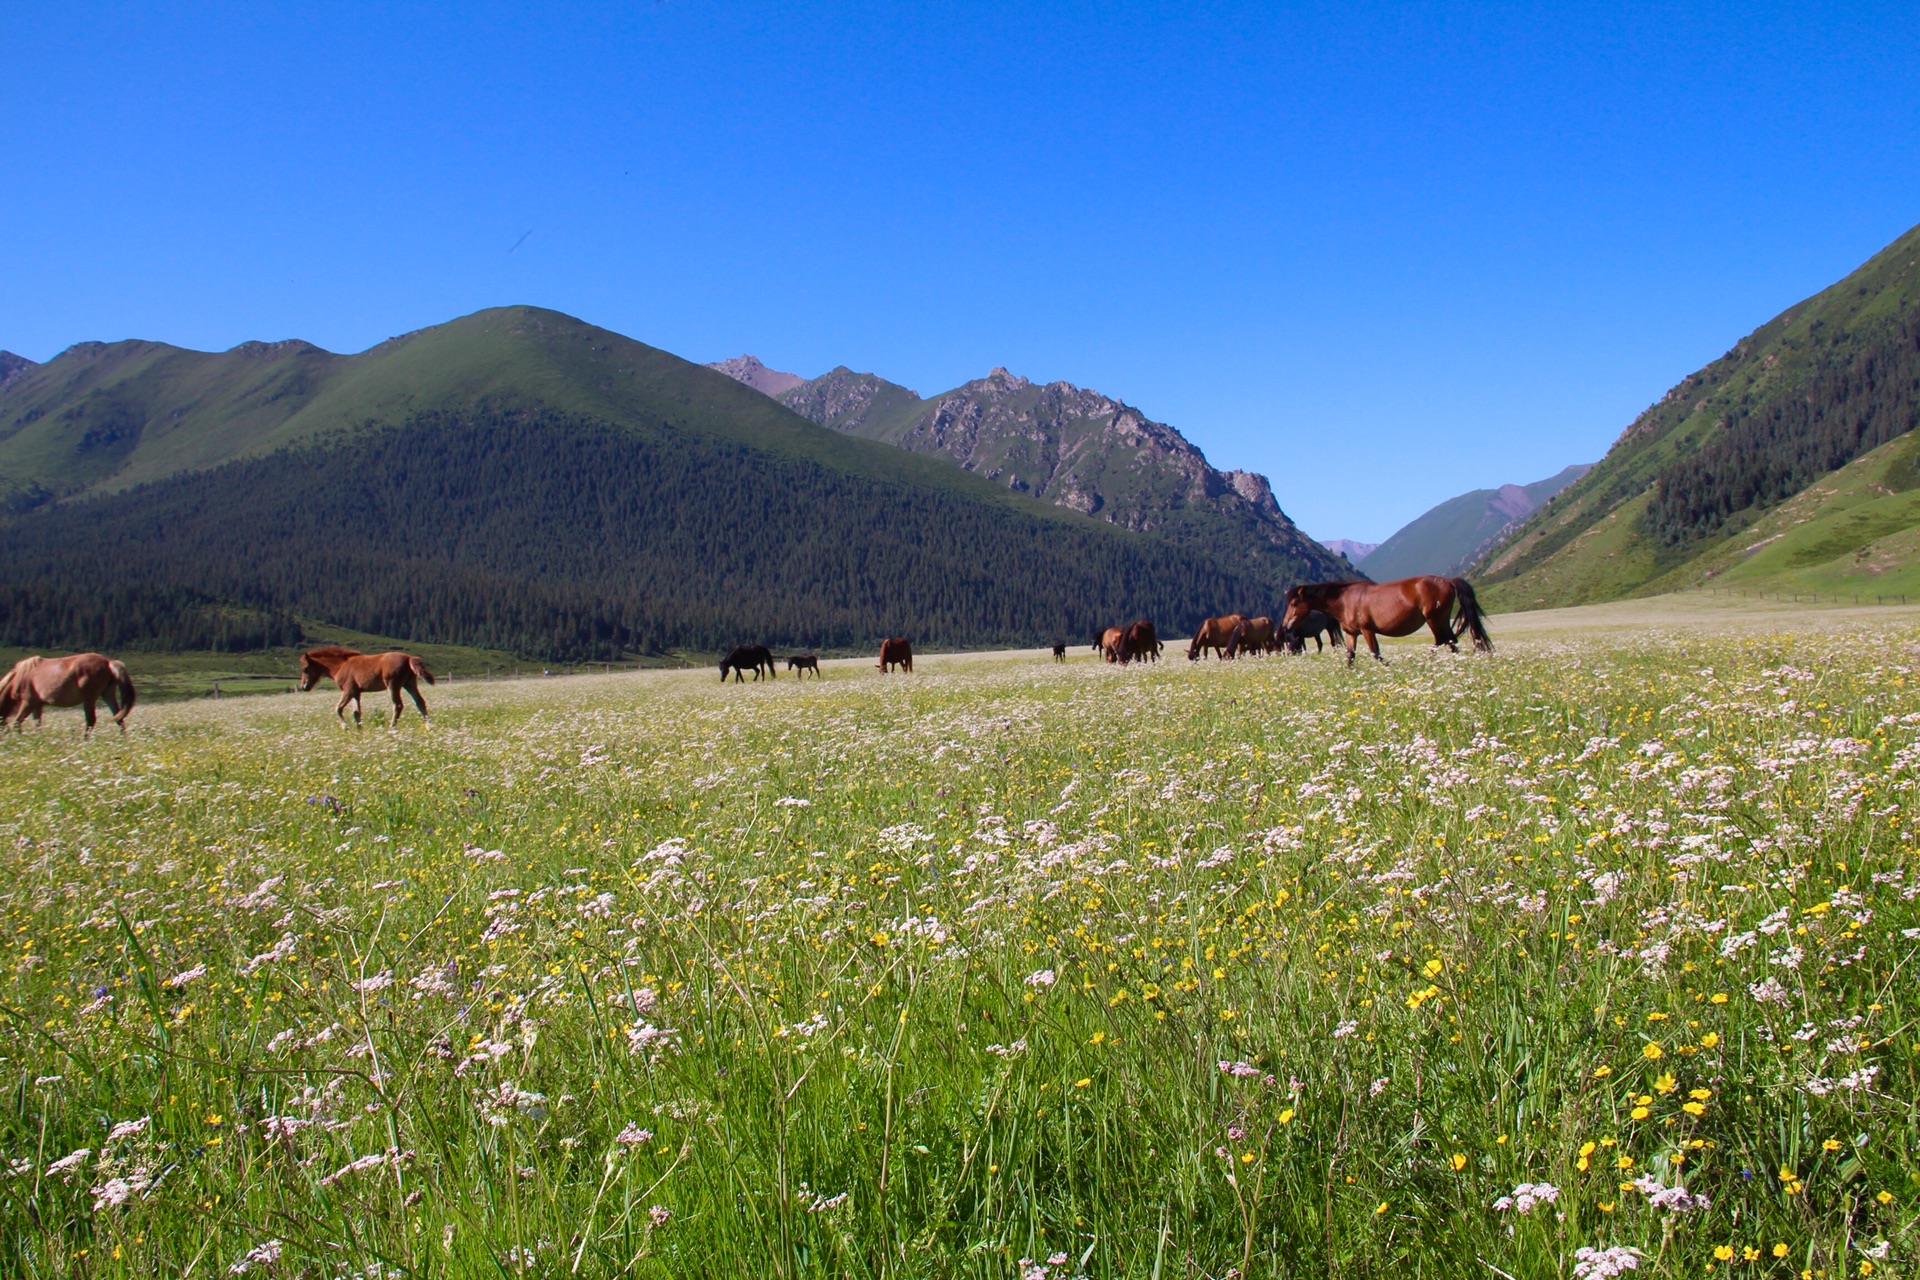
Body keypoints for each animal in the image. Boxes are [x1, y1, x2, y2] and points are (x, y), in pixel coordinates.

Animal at [0, 656, 137, 736]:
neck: (20, 676)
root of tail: (108, 662)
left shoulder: (28, 703)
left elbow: (17, 723)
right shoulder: (37, 705)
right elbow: (38, 725)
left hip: (89, 698)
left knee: (91, 720)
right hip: (107, 693)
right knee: (119, 717)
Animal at [299, 644, 439, 725]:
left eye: (305, 669)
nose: (304, 687)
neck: (341, 666)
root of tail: (409, 658)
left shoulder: (348, 690)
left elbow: (338, 709)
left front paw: (346, 727)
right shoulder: (356, 692)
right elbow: (356, 712)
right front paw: (359, 732)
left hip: (393, 685)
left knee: (398, 705)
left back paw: (392, 728)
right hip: (409, 683)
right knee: (420, 702)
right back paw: (429, 726)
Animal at [1282, 575, 1489, 667]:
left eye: (1293, 603)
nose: (1285, 626)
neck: (1345, 601)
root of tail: (1448, 581)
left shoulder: (1367, 630)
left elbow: (1376, 653)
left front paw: (1390, 667)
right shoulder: (1351, 634)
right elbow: (1350, 657)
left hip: (1433, 618)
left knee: (1442, 640)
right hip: (1442, 619)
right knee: (1451, 640)